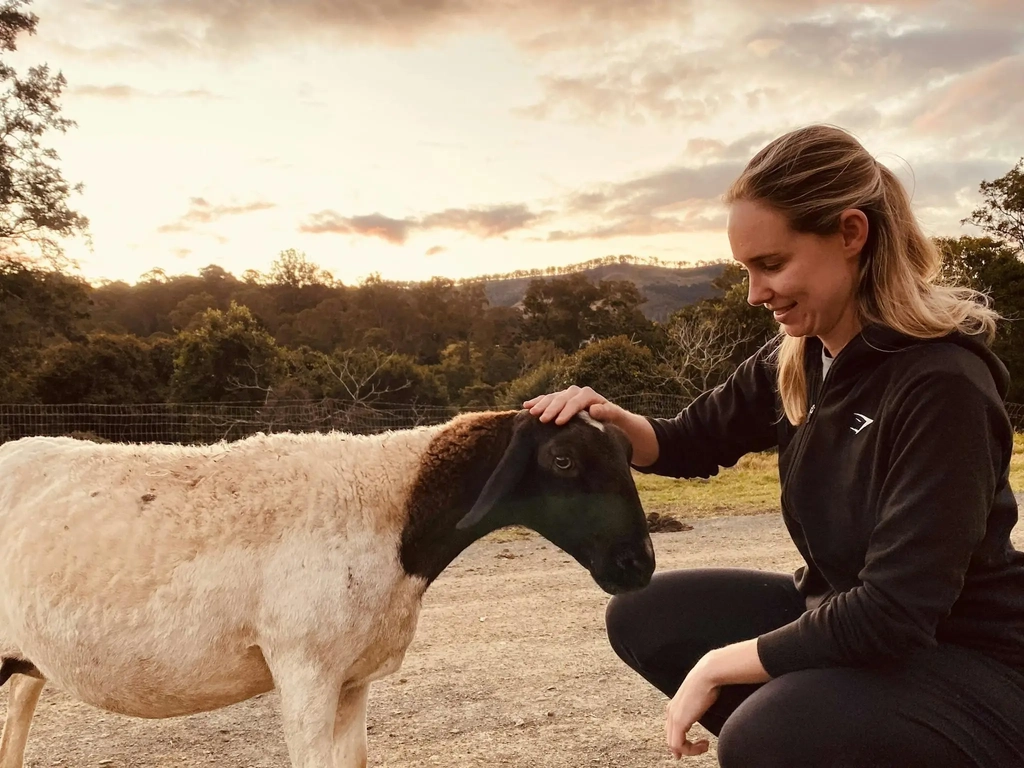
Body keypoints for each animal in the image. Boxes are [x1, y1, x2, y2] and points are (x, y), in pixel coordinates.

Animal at [0, 411, 655, 765]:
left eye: (628, 451)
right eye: (563, 459)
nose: (637, 564)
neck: (392, 514)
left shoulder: (352, 675)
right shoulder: (304, 668)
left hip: (27, 660)